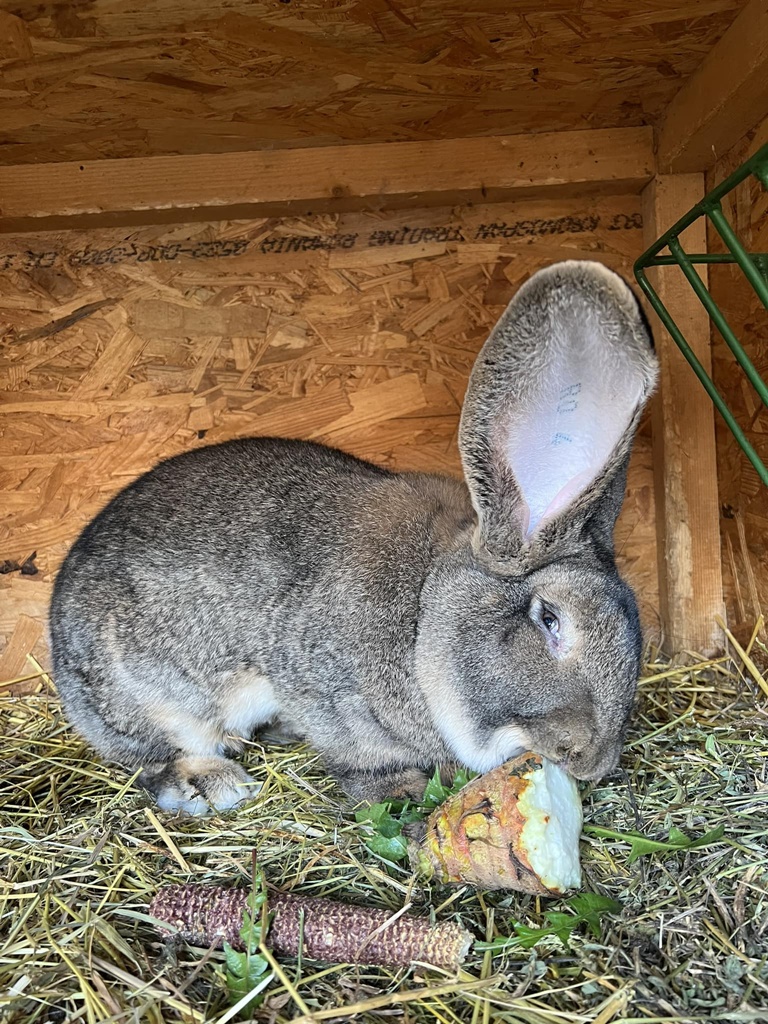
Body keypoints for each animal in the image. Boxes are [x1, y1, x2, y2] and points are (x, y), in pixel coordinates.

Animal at [51, 260, 659, 811]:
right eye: (549, 620)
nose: (594, 763)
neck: (423, 613)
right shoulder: (328, 698)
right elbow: (361, 761)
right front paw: (401, 794)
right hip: (149, 700)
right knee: (150, 757)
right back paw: (211, 783)